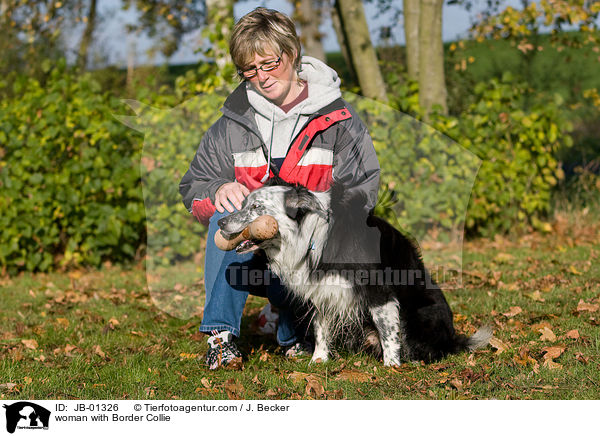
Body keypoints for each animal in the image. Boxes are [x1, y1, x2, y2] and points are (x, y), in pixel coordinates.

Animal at [218, 179, 490, 366]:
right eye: (243, 204)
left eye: (256, 207)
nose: (221, 222)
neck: (314, 235)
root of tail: (452, 338)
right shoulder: (322, 292)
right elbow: (321, 329)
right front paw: (318, 360)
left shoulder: (379, 291)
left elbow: (388, 332)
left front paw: (392, 367)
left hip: (422, 315)